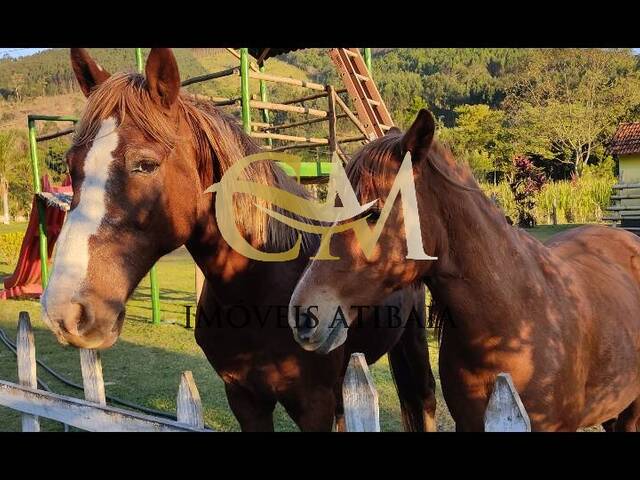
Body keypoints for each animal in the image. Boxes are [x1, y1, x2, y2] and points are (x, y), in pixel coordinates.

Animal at [38, 47, 436, 432]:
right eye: (72, 165)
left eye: (145, 165)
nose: (65, 310)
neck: (260, 289)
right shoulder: (245, 398)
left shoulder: (313, 405)